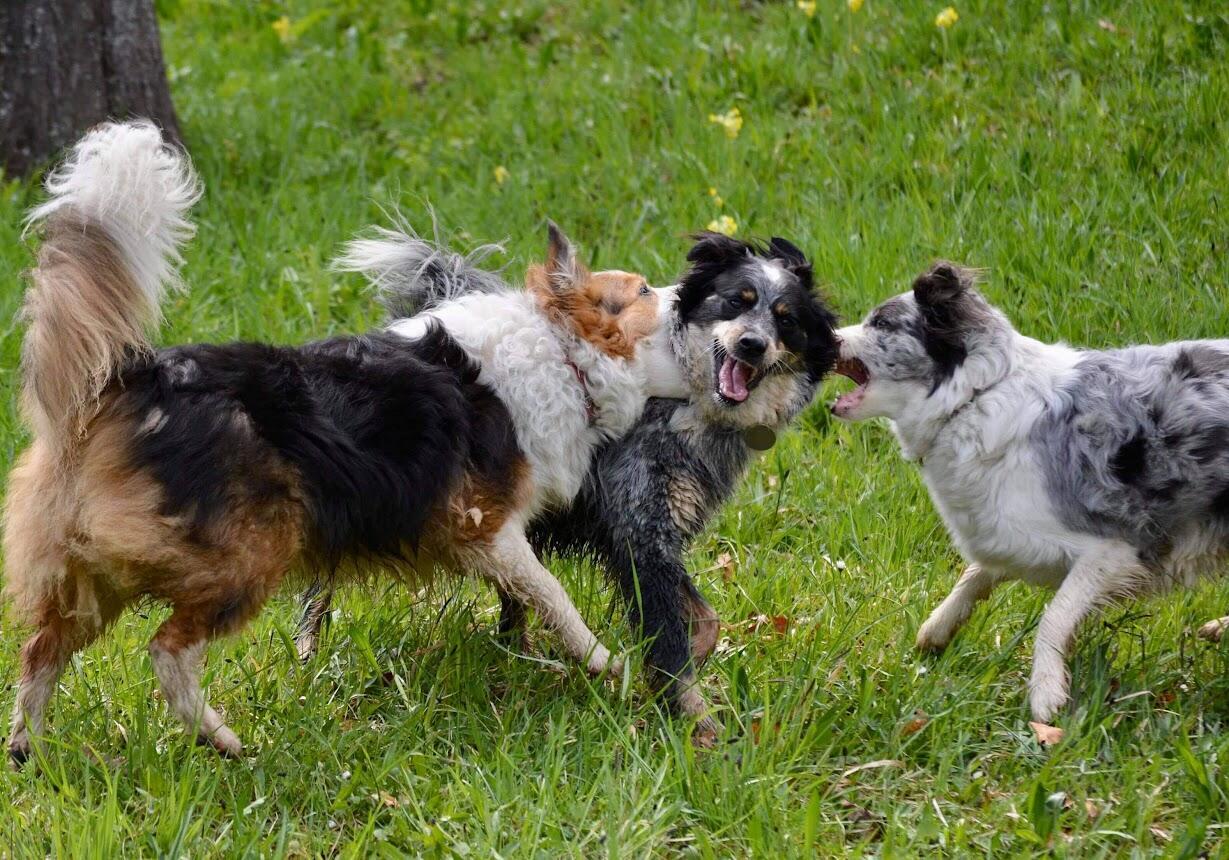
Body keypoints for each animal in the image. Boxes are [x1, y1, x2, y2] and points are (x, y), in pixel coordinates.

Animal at [297, 228, 840, 732]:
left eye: (786, 319)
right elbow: (650, 635)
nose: (751, 343)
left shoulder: (645, 533)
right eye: (734, 300)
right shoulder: (631, 528)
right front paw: (695, 723)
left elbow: (703, 621)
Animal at [830, 265, 1224, 722]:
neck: (973, 397)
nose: (823, 336)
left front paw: (1047, 693)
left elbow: (1054, 616)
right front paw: (936, 630)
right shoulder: (1006, 533)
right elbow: (974, 575)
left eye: (882, 323)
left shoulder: (1112, 550)